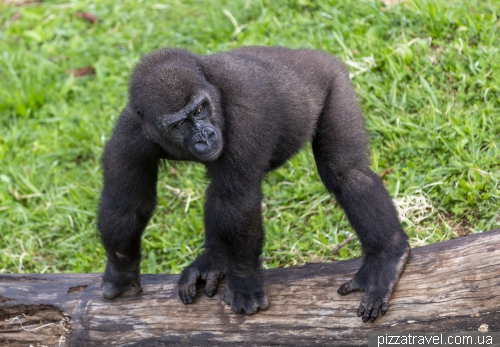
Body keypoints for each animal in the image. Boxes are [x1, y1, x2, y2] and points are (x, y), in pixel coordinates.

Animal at [97, 46, 410, 324]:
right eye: (180, 124)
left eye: (200, 110)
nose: (205, 136)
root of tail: (312, 54)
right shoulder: (129, 133)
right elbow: (127, 205)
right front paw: (122, 272)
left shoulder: (247, 111)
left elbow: (238, 202)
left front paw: (245, 282)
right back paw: (213, 260)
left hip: (335, 81)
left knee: (347, 173)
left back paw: (387, 255)